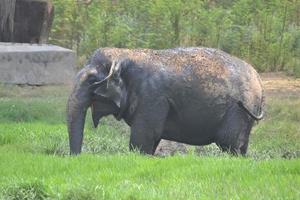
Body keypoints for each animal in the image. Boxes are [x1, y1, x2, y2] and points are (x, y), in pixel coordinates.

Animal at [67, 47, 264, 155]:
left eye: (92, 81)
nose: (78, 157)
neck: (124, 54)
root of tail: (259, 80)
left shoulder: (152, 96)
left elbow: (144, 137)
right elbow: (151, 139)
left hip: (238, 110)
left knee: (230, 144)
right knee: (240, 146)